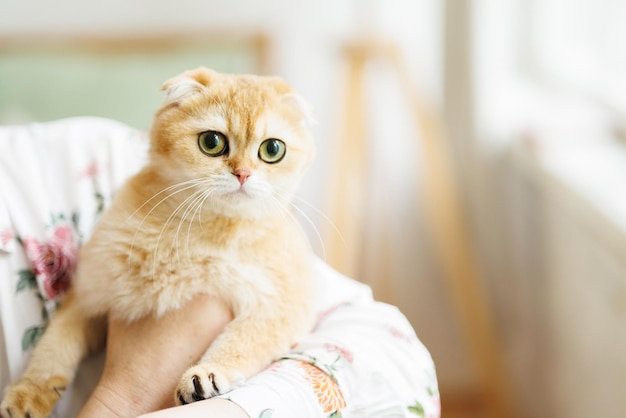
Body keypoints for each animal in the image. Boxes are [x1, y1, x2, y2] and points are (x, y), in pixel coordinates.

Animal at [0, 67, 316, 416]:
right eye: (212, 142)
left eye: (272, 150)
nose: (243, 174)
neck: (207, 229)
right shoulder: (87, 296)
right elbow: (54, 348)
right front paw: (29, 393)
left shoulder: (280, 308)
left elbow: (242, 341)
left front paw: (206, 375)